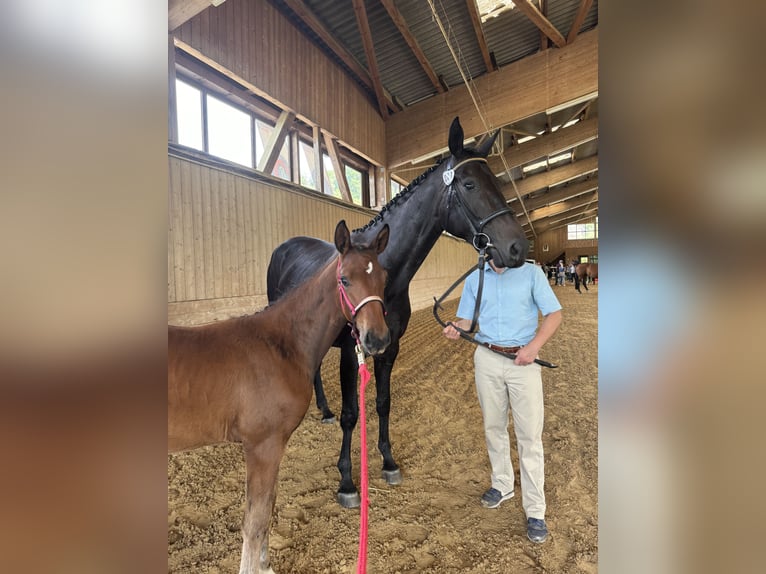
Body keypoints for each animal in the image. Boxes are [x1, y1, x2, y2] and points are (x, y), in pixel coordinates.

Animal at [172, 222, 392, 574]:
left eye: (383, 278)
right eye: (345, 279)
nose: (378, 340)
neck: (280, 344)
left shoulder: (274, 447)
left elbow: (268, 508)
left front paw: (265, 565)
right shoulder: (262, 445)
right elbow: (256, 520)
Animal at [268, 116, 528, 508]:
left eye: (496, 182)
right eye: (469, 184)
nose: (517, 247)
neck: (382, 272)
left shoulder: (390, 348)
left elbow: (383, 403)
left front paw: (389, 462)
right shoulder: (352, 352)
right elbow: (352, 414)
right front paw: (347, 482)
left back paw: (324, 411)